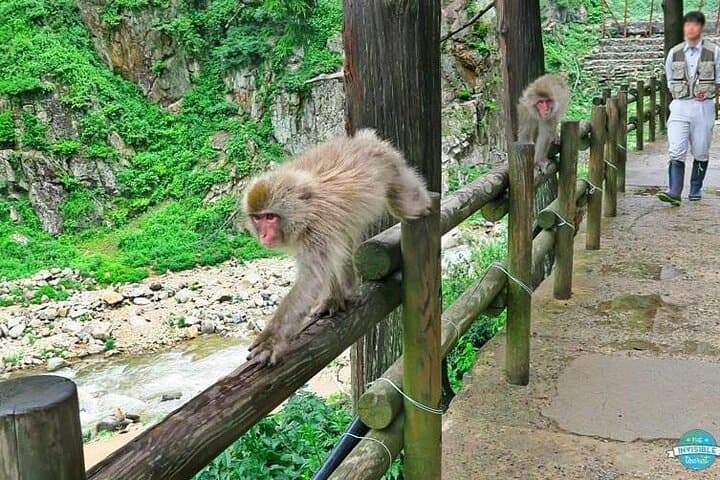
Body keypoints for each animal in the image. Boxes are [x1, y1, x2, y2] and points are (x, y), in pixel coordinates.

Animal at [242, 129, 432, 366]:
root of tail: (365, 140)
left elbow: (311, 279)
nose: (264, 235)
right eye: (258, 218)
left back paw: (426, 204)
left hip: (392, 169)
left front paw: (271, 340)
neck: (303, 212)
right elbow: (325, 264)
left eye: (270, 217)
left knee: (403, 206)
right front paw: (332, 300)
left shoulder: (316, 230)